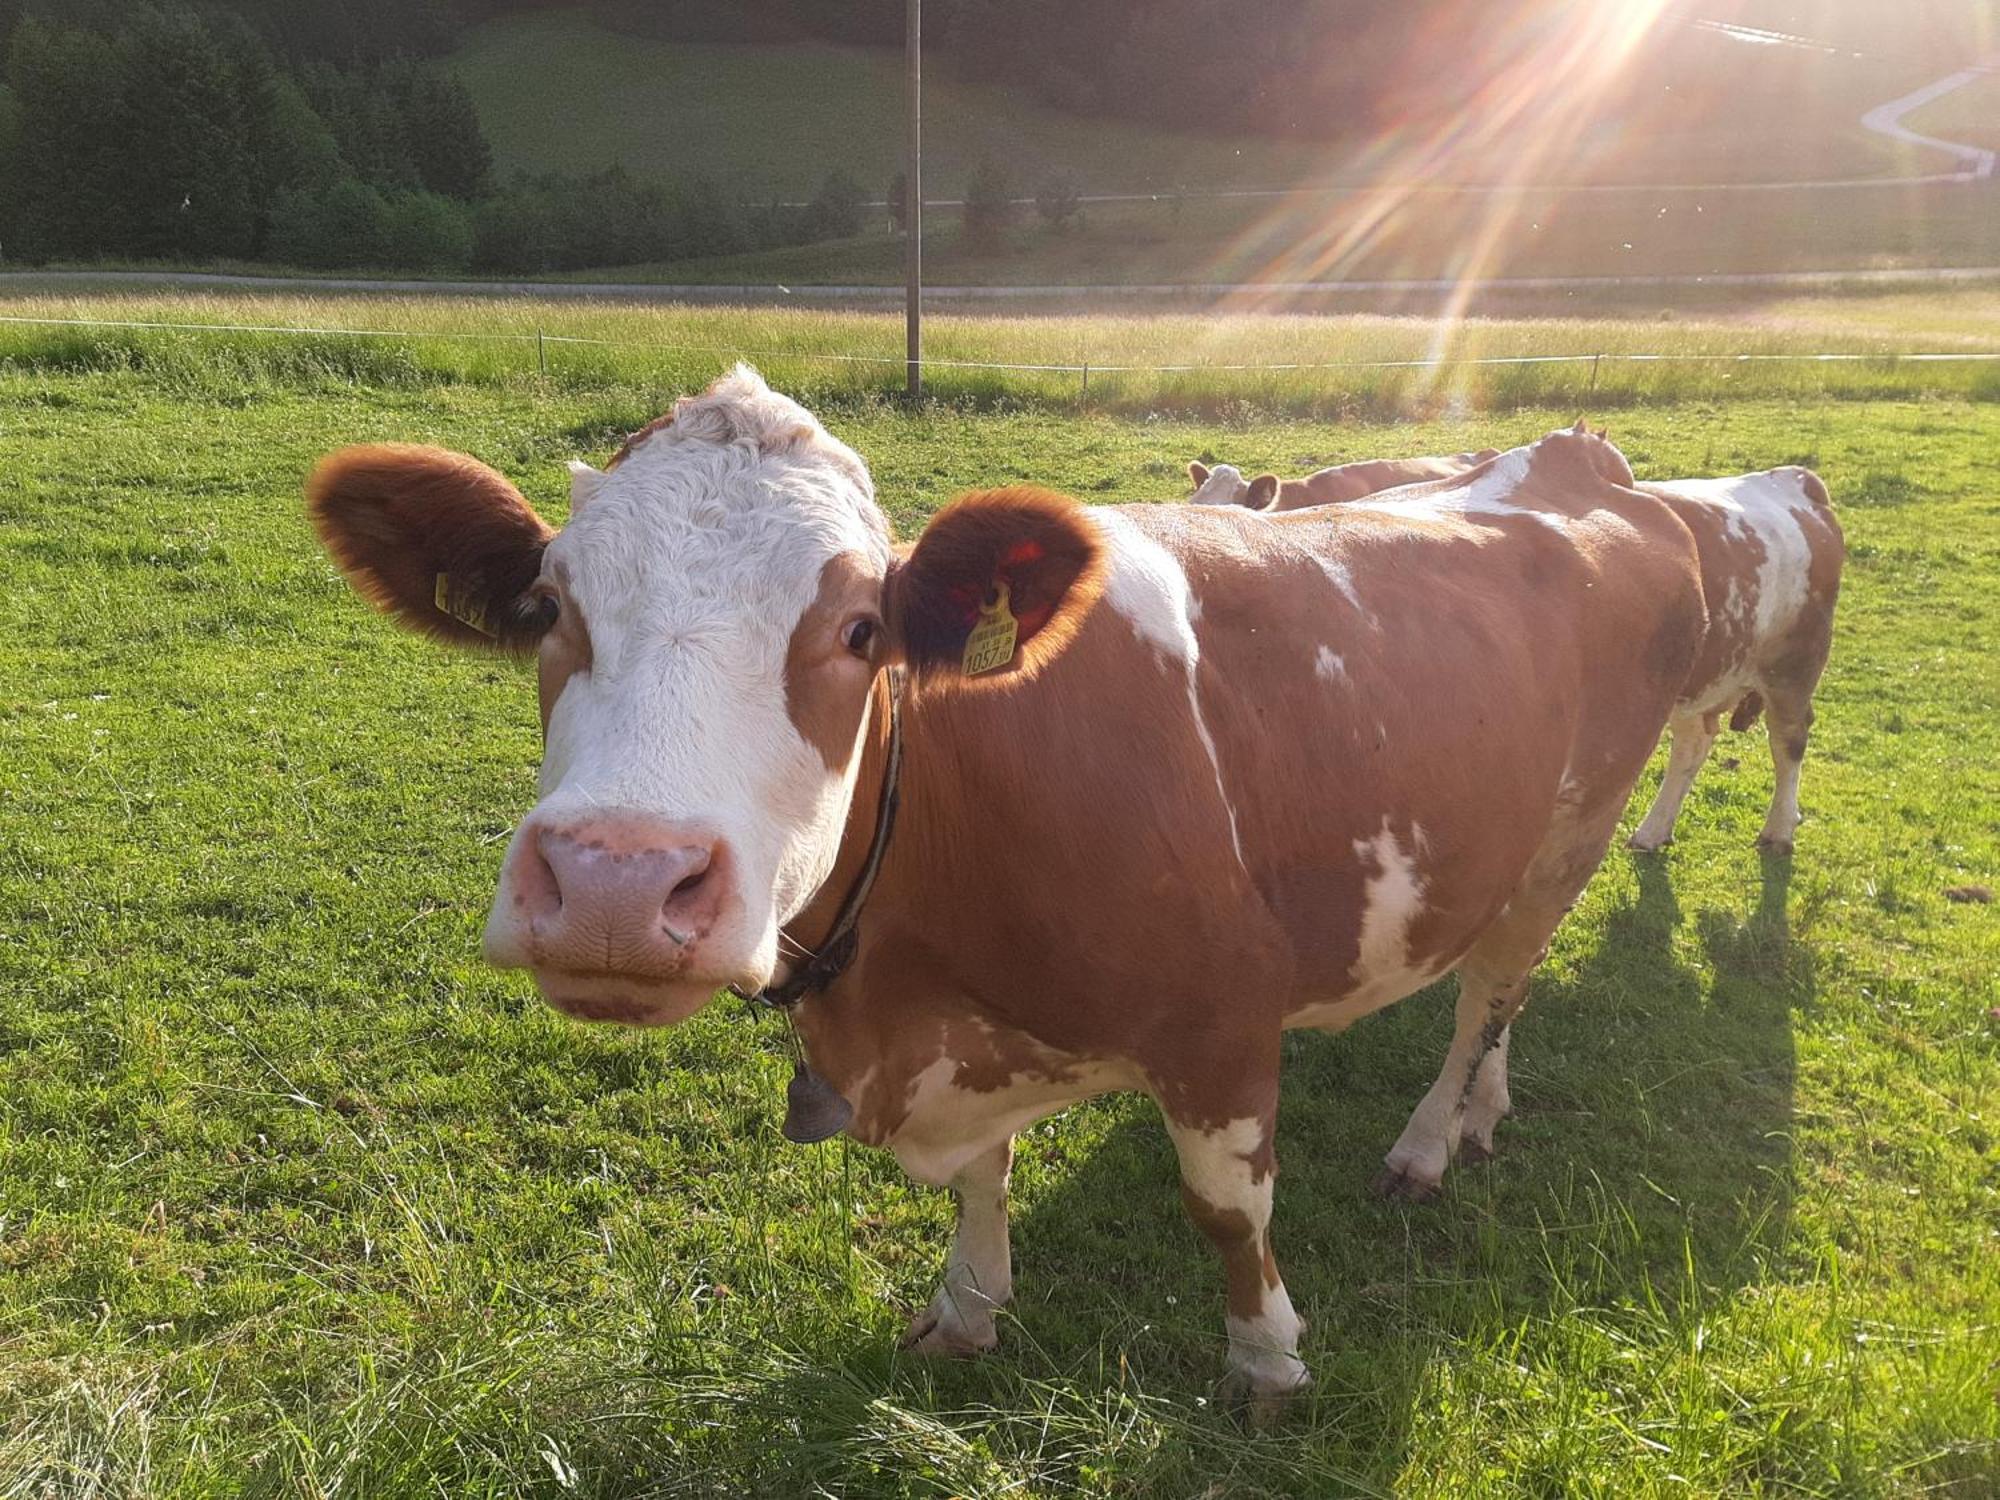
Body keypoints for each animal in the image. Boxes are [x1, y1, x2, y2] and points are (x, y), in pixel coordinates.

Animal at [308, 370, 1840, 1416]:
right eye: (547, 607)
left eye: (859, 628)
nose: (617, 883)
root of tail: (1588, 471)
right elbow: (980, 1182)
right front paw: (966, 1305)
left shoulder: (1221, 1025)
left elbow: (1227, 1211)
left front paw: (1265, 1359)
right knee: (1495, 997)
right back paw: (1483, 1110)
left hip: (1568, 828)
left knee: (1491, 989)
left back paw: (1427, 1135)